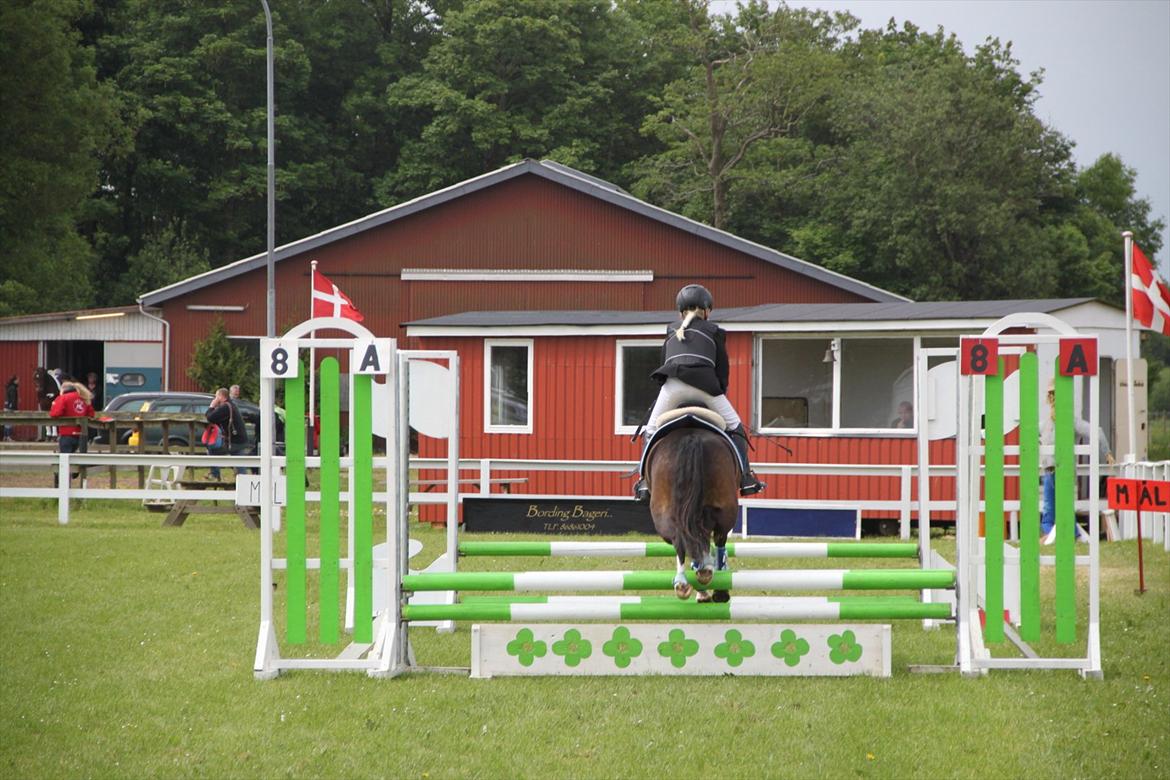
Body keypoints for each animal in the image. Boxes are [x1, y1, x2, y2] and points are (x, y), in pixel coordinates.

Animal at [645, 409, 734, 603]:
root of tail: (690, 437)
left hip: (663, 512)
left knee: (680, 538)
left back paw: (683, 583)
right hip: (726, 510)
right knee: (715, 537)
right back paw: (713, 582)